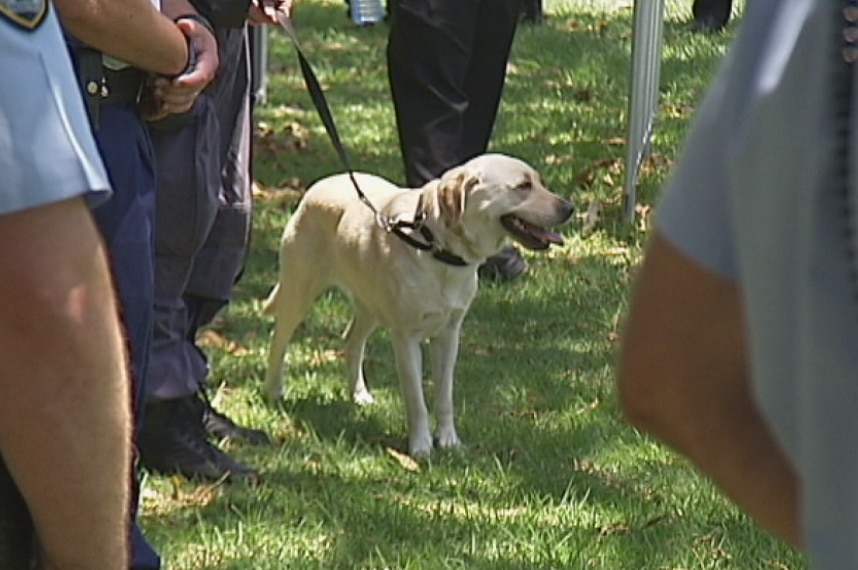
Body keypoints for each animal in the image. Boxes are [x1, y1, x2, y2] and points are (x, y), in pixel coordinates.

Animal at [260, 153, 568, 454]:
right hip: (299, 292)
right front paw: (421, 447)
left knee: (352, 339)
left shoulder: (449, 334)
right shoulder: (406, 339)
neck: (435, 247)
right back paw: (274, 391)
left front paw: (448, 440)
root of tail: (316, 186)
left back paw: (358, 393)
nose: (570, 208)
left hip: (370, 303)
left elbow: (444, 396)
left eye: (539, 182)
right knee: (279, 338)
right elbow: (416, 401)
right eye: (523, 186)